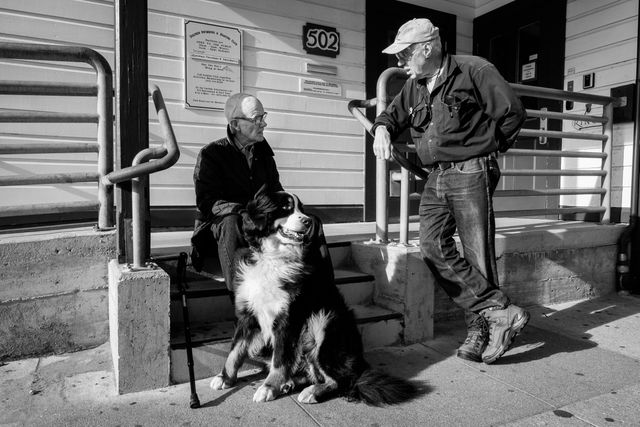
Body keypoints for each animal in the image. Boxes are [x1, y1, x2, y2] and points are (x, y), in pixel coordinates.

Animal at [210, 192, 420, 406]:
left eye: (302, 209)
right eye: (285, 207)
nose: (308, 221)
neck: (273, 257)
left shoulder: (288, 319)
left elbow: (279, 359)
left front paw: (269, 387)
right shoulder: (248, 314)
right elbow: (235, 351)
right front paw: (225, 377)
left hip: (322, 325)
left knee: (341, 380)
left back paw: (311, 391)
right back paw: (289, 383)